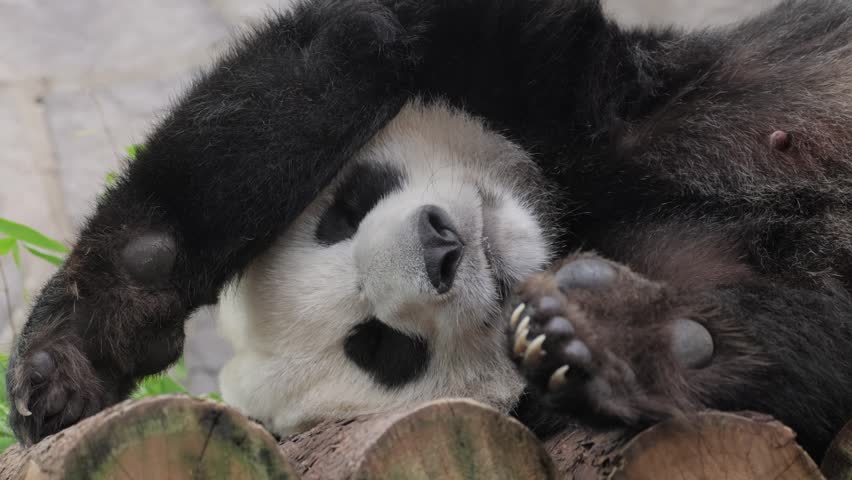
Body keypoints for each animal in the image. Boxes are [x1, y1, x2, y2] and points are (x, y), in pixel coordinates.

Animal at [7, 0, 852, 462]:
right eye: (380, 346)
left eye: (345, 211)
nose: (444, 247)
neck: (569, 207)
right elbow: (805, 335)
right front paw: (618, 343)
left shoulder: (549, 82)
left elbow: (359, 38)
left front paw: (70, 355)